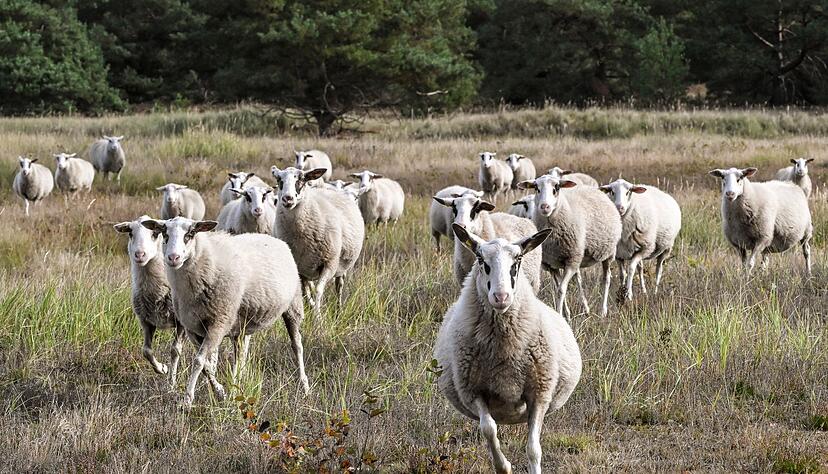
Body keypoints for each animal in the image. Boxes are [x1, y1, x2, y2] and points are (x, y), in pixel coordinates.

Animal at [113, 216, 187, 384]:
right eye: (130, 233)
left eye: (155, 233)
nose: (140, 254)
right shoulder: (146, 321)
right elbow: (146, 351)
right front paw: (162, 368)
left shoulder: (180, 322)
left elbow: (175, 350)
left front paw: (172, 382)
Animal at [140, 217, 310, 407]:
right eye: (165, 233)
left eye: (190, 234)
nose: (173, 257)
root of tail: (275, 239)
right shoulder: (192, 327)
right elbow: (206, 365)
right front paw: (220, 392)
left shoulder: (218, 323)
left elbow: (198, 361)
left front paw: (187, 399)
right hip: (242, 322)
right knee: (240, 354)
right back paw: (237, 384)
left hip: (293, 306)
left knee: (297, 345)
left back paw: (304, 385)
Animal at [272, 166, 365, 315]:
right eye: (279, 179)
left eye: (301, 179)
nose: (287, 199)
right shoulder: (300, 269)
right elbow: (305, 293)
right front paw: (310, 308)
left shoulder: (329, 263)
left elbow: (318, 291)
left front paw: (318, 316)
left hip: (342, 265)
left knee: (339, 286)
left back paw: (338, 309)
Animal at [434, 224, 582, 474]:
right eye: (481, 259)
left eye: (518, 260)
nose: (501, 296)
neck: (504, 351)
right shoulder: (473, 392)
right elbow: (488, 429)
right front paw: (504, 466)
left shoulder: (539, 394)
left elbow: (533, 449)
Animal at [519, 175, 622, 318]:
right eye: (536, 188)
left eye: (556, 188)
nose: (544, 207)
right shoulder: (551, 265)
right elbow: (557, 288)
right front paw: (566, 313)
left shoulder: (571, 261)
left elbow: (561, 290)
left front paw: (560, 314)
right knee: (579, 278)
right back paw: (586, 309)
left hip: (608, 253)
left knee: (606, 279)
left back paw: (603, 311)